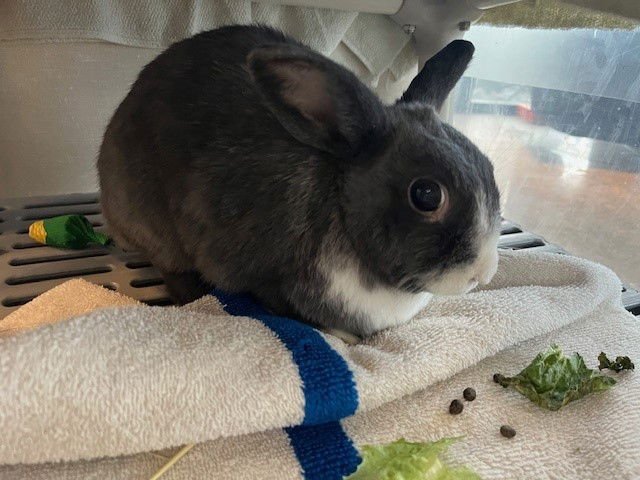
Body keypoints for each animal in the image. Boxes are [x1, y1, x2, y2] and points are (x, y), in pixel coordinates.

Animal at [98, 25, 501, 339]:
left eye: (489, 167)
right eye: (427, 194)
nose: (482, 274)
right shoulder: (259, 273)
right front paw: (340, 336)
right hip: (151, 222)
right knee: (171, 267)